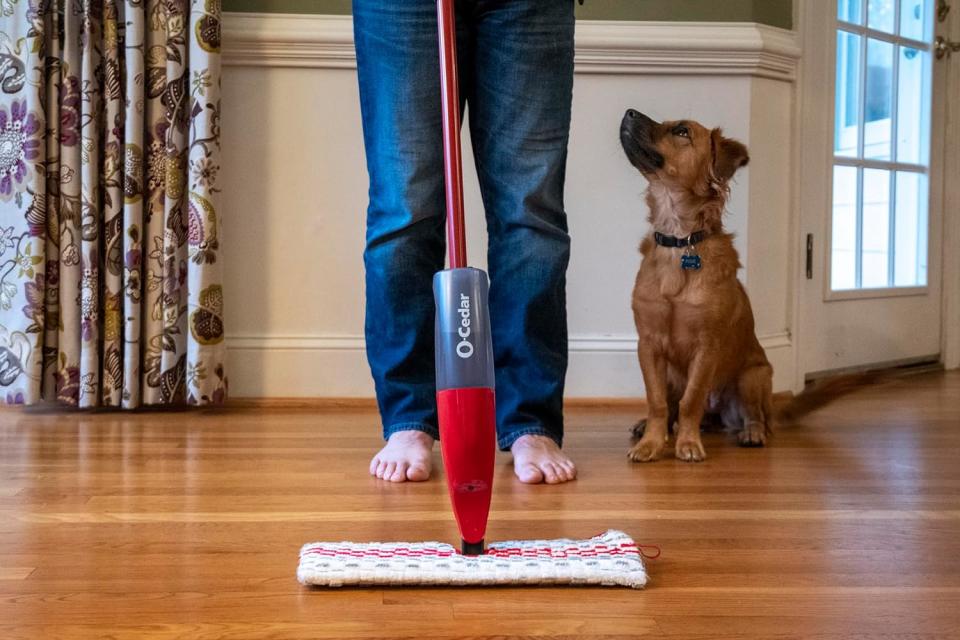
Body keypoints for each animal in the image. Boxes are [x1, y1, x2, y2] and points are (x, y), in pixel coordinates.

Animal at [624, 107, 772, 462]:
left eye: (681, 131)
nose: (629, 112)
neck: (679, 240)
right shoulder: (648, 344)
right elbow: (657, 403)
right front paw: (650, 443)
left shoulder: (707, 348)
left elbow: (691, 400)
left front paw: (687, 444)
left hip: (753, 377)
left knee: (754, 414)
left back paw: (752, 433)